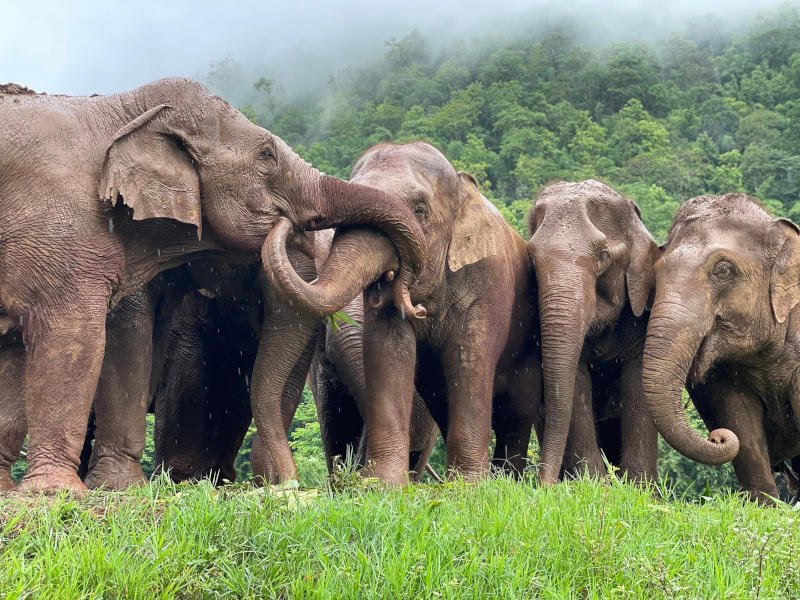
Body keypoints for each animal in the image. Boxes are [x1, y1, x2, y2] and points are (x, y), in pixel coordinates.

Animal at [0, 78, 424, 492]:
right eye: (266, 155)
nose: (406, 295)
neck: (120, 105)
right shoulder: (66, 233)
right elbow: (86, 336)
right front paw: (76, 492)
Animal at [262, 142, 544, 488]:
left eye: (420, 210)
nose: (287, 219)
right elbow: (389, 352)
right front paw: (382, 486)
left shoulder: (489, 283)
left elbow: (469, 359)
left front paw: (467, 487)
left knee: (514, 413)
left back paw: (506, 480)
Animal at [528, 180, 660, 486]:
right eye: (531, 257)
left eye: (603, 256)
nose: (542, 485)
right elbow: (576, 381)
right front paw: (594, 485)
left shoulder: (639, 315)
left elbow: (638, 380)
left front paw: (639, 488)